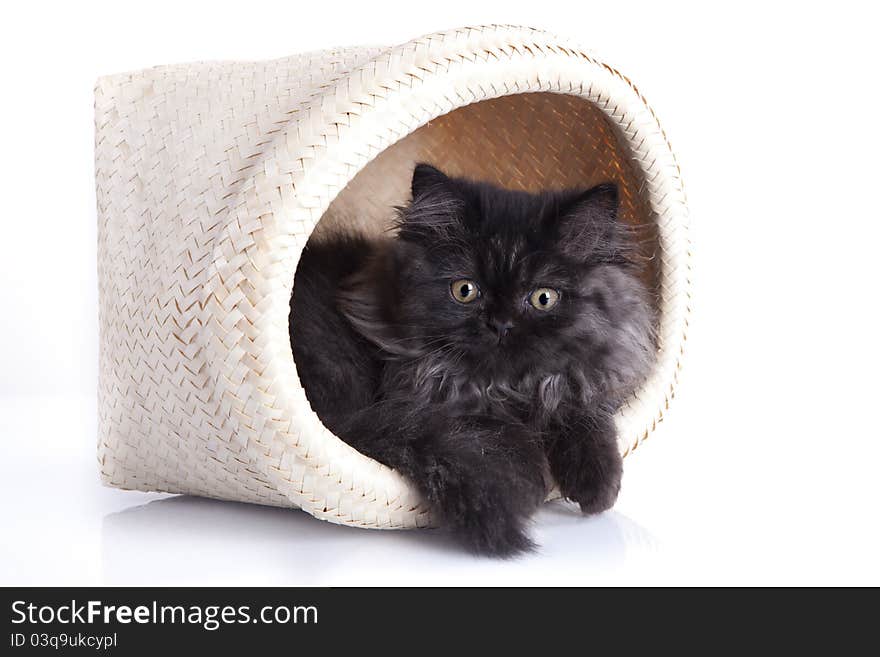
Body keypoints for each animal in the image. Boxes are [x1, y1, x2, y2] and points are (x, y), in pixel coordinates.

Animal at [288, 164, 652, 552]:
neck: (506, 386)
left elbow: (582, 410)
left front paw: (599, 486)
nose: (501, 325)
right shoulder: (430, 399)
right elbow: (494, 430)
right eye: (465, 290)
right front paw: (536, 468)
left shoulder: (583, 374)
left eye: (543, 298)